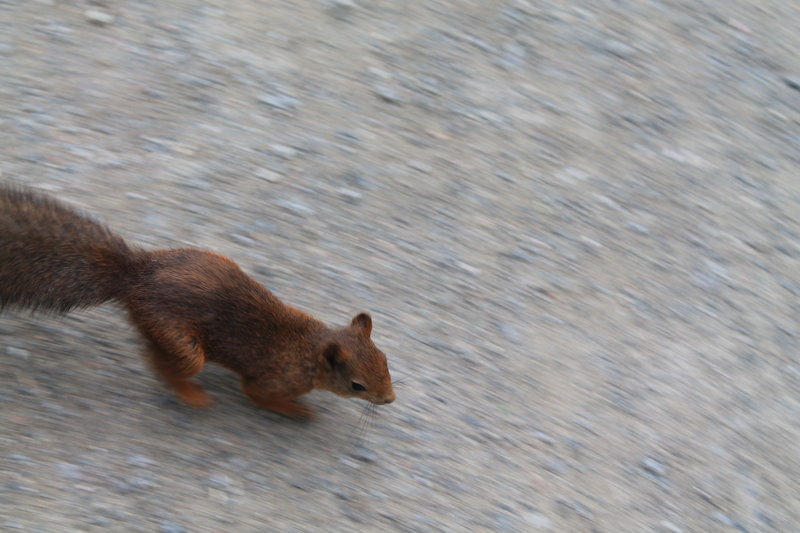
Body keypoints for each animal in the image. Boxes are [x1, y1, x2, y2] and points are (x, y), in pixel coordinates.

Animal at [1, 185, 396, 418]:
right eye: (357, 385)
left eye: (386, 361)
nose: (390, 399)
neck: (308, 349)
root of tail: (135, 275)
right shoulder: (272, 379)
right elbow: (258, 395)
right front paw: (298, 411)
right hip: (177, 337)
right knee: (161, 363)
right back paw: (191, 394)